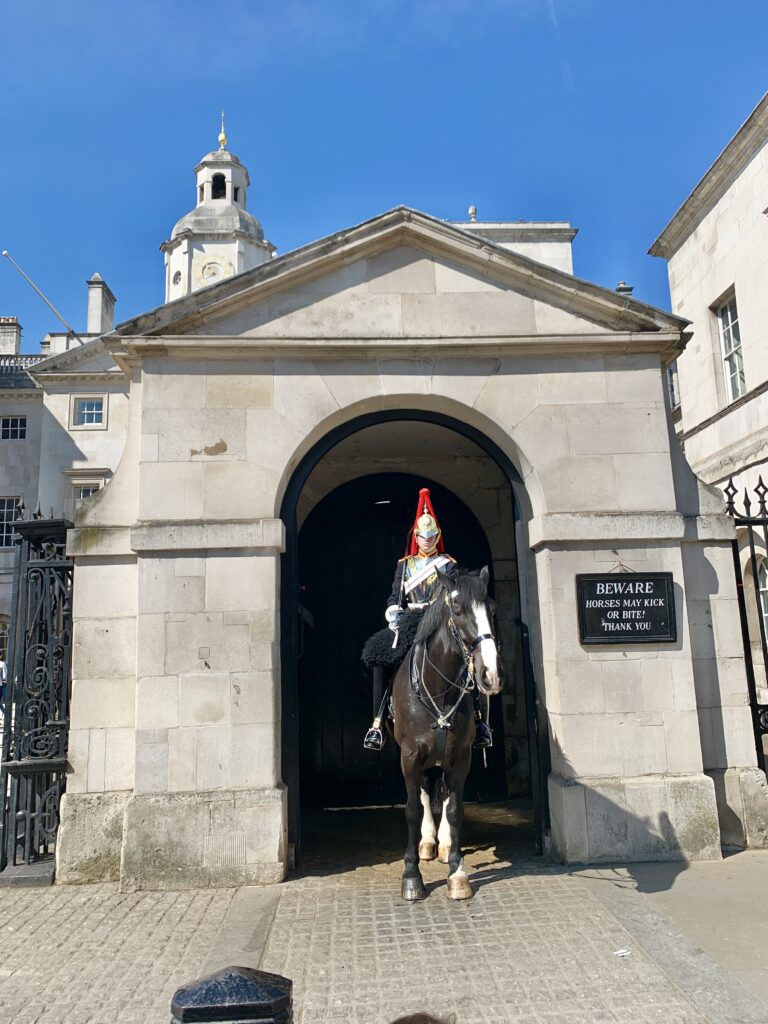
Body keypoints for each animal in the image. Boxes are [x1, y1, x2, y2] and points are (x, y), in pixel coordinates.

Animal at [391, 565, 505, 901]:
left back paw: (441, 843)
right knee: (426, 792)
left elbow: (454, 809)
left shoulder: (461, 756)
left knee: (440, 792)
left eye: (492, 608)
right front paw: (412, 876)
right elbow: (413, 809)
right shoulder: (410, 757)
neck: (438, 690)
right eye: (457, 609)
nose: (491, 675)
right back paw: (427, 842)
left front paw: (457, 873)